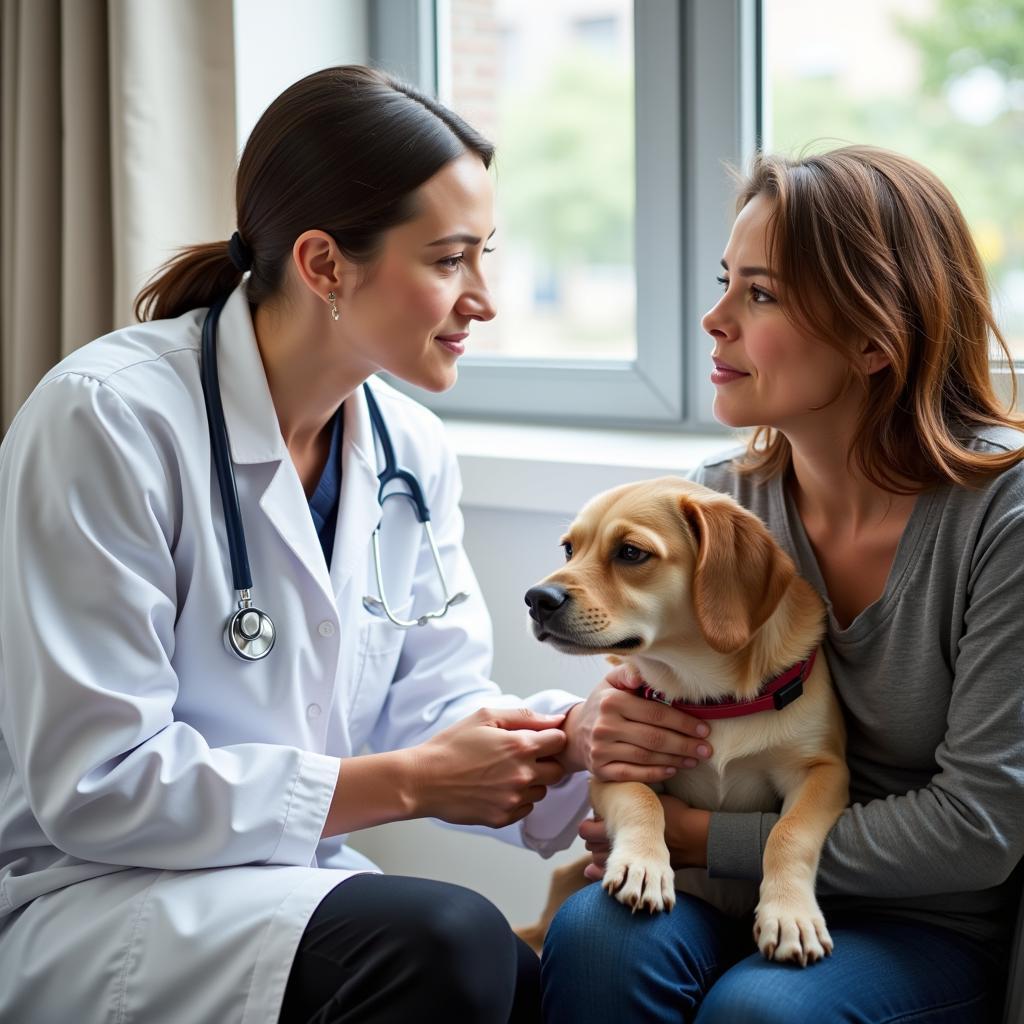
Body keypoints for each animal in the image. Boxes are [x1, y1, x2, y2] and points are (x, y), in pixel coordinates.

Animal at [520, 475, 847, 962]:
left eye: (630, 552)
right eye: (569, 550)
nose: (536, 599)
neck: (710, 695)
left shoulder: (822, 771)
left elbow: (789, 833)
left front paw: (791, 914)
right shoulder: (615, 764)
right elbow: (642, 800)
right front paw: (643, 866)